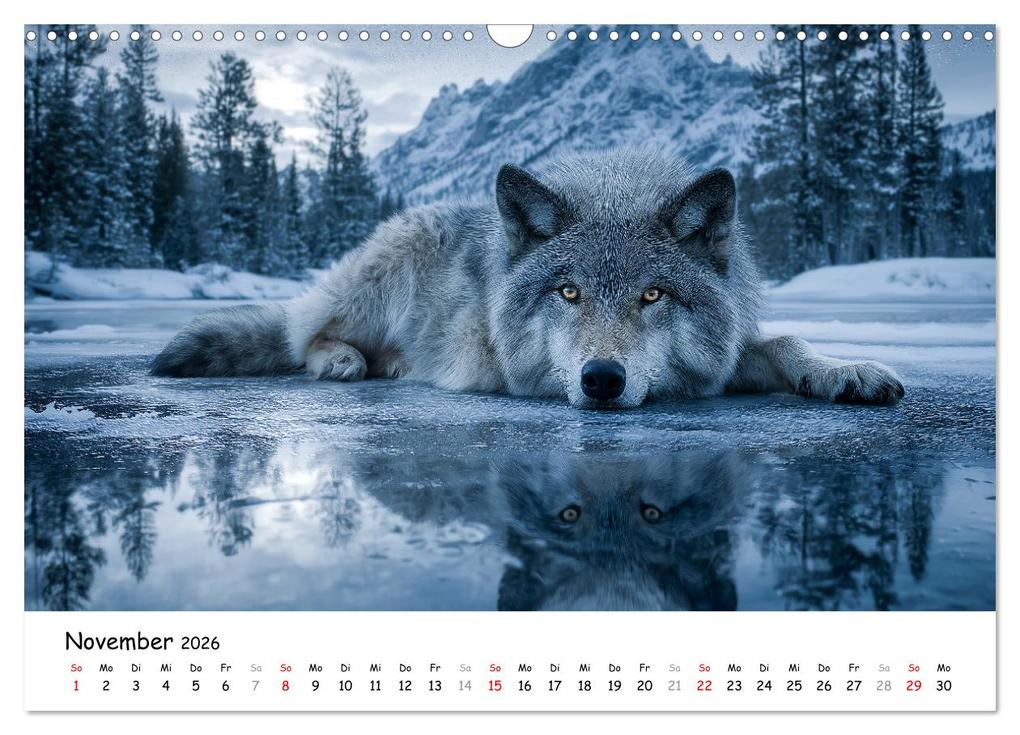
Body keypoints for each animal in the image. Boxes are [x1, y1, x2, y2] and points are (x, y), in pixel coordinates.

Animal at [152, 150, 904, 409]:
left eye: (653, 295)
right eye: (567, 292)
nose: (602, 379)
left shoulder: (717, 360)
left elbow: (785, 344)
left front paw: (846, 370)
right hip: (379, 277)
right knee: (302, 331)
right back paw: (344, 359)